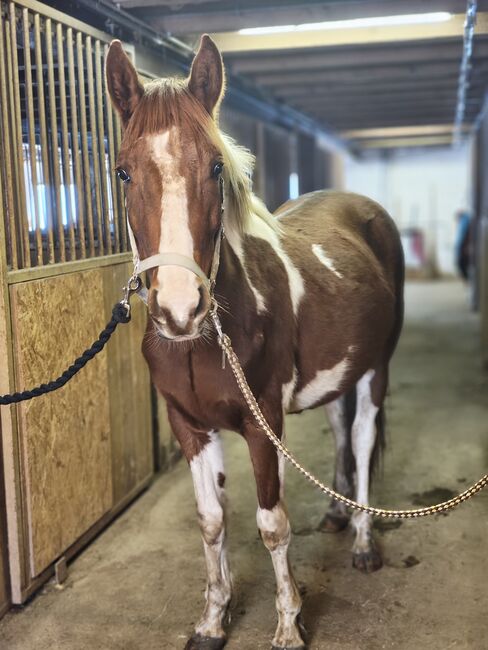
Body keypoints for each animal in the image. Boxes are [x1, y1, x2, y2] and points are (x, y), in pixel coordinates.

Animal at [106, 34, 404, 650]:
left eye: (217, 166)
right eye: (123, 172)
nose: (180, 309)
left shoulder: (263, 422)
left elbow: (272, 525)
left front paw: (289, 624)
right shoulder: (189, 426)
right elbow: (212, 520)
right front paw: (212, 619)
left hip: (375, 369)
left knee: (363, 438)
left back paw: (364, 540)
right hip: (336, 371)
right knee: (340, 428)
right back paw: (337, 514)